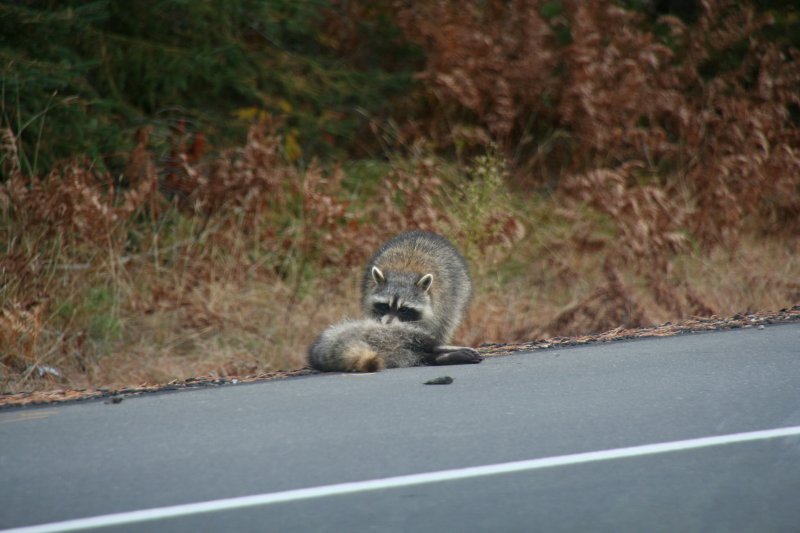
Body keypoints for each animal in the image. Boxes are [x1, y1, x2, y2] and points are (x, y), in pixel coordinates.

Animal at [308, 231, 482, 372]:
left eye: (404, 309)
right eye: (384, 306)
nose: (388, 326)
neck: (403, 273)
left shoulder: (439, 305)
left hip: (456, 298)